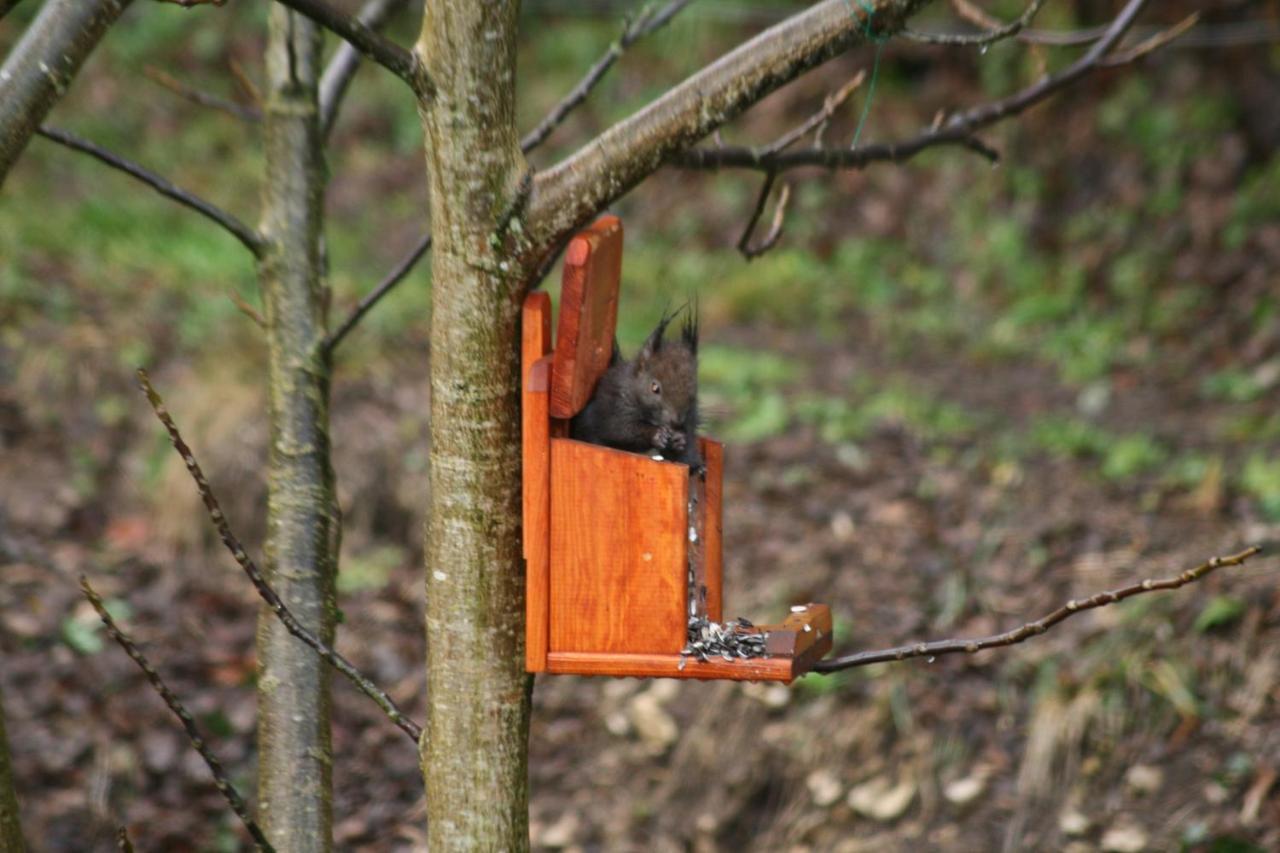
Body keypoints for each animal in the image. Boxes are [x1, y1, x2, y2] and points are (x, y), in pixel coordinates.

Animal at [570, 306, 701, 466]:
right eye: (655, 388)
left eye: (694, 389)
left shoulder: (690, 418)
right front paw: (656, 434)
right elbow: (622, 429)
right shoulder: (615, 405)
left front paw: (679, 440)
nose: (676, 421)